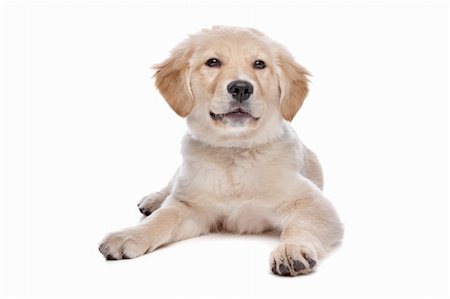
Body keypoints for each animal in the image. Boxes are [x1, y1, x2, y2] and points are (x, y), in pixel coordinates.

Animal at [99, 27, 344, 278]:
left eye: (259, 64)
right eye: (213, 62)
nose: (241, 88)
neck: (233, 153)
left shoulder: (313, 204)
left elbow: (299, 226)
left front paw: (291, 250)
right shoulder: (191, 206)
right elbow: (164, 216)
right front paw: (131, 234)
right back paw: (153, 200)